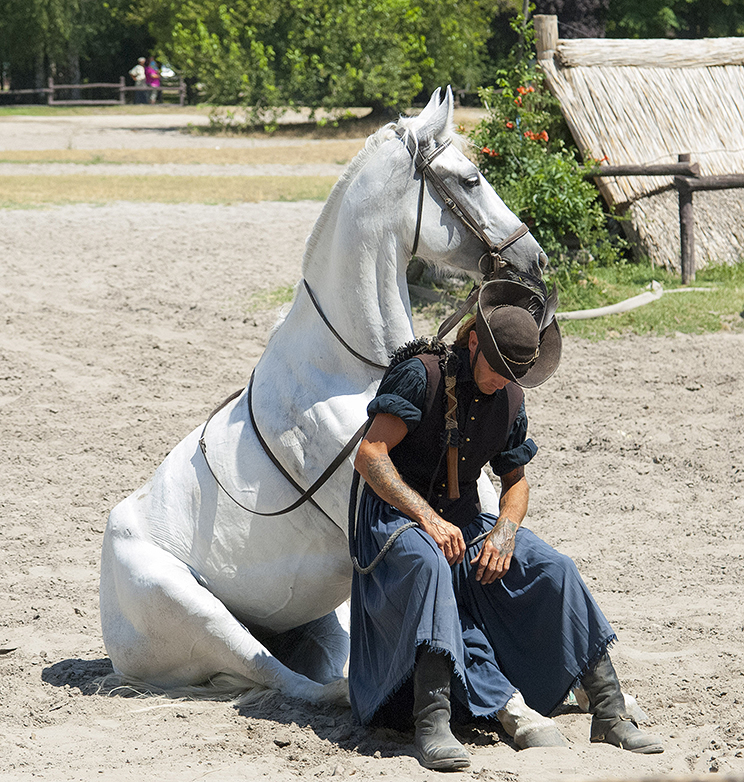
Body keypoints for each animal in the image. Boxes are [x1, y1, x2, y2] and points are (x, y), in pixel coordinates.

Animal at [99, 89, 548, 708]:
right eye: (471, 178)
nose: (536, 259)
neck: (355, 373)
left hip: (316, 619)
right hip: (194, 612)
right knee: (284, 679)